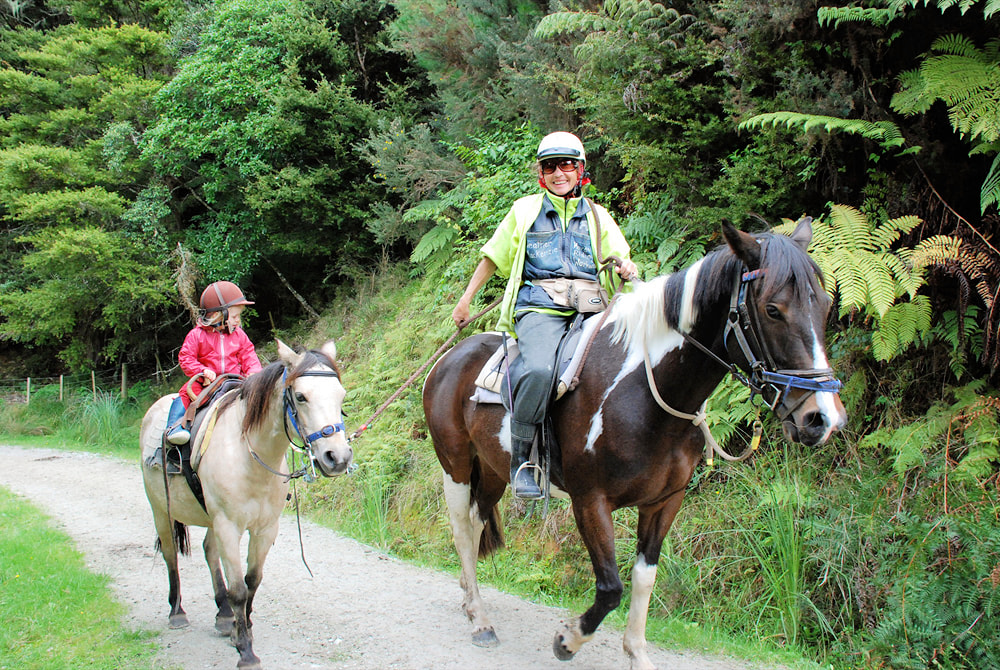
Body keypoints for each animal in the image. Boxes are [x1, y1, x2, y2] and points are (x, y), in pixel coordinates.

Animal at [141, 342, 352, 670]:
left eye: (340, 395)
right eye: (301, 397)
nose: (337, 457)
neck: (249, 456)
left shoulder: (265, 529)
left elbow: (252, 581)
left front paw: (243, 628)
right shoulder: (229, 526)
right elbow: (239, 589)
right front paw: (246, 651)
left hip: (210, 519)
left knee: (209, 552)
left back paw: (224, 615)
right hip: (161, 510)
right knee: (170, 554)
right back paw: (177, 612)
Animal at [422, 222, 844, 670]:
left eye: (825, 305)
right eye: (772, 309)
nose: (823, 418)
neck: (645, 389)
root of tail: (449, 358)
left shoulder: (665, 501)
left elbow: (644, 578)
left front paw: (637, 653)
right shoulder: (590, 500)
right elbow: (611, 587)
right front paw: (568, 639)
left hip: (494, 471)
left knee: (477, 521)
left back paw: (470, 601)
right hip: (455, 465)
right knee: (461, 530)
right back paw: (480, 619)